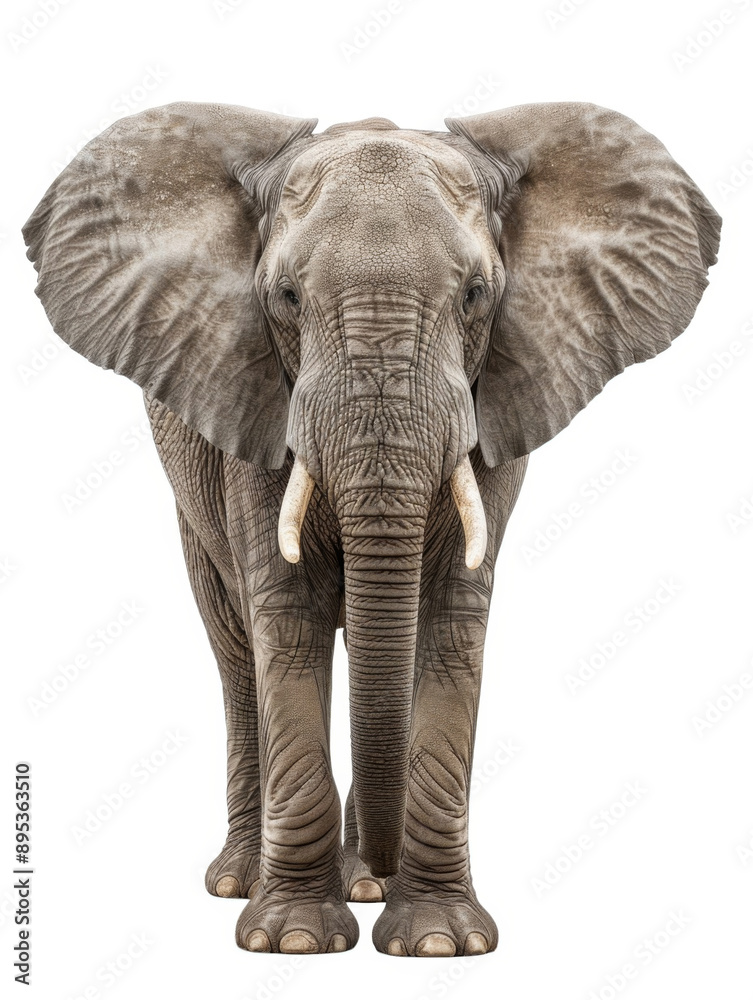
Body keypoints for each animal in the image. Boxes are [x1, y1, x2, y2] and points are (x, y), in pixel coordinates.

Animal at [23, 100, 720, 957]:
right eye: (286, 297)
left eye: (476, 295)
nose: (379, 874)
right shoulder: (256, 403)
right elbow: (286, 621)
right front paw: (291, 939)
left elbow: (450, 625)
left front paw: (438, 941)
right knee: (237, 651)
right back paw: (247, 881)